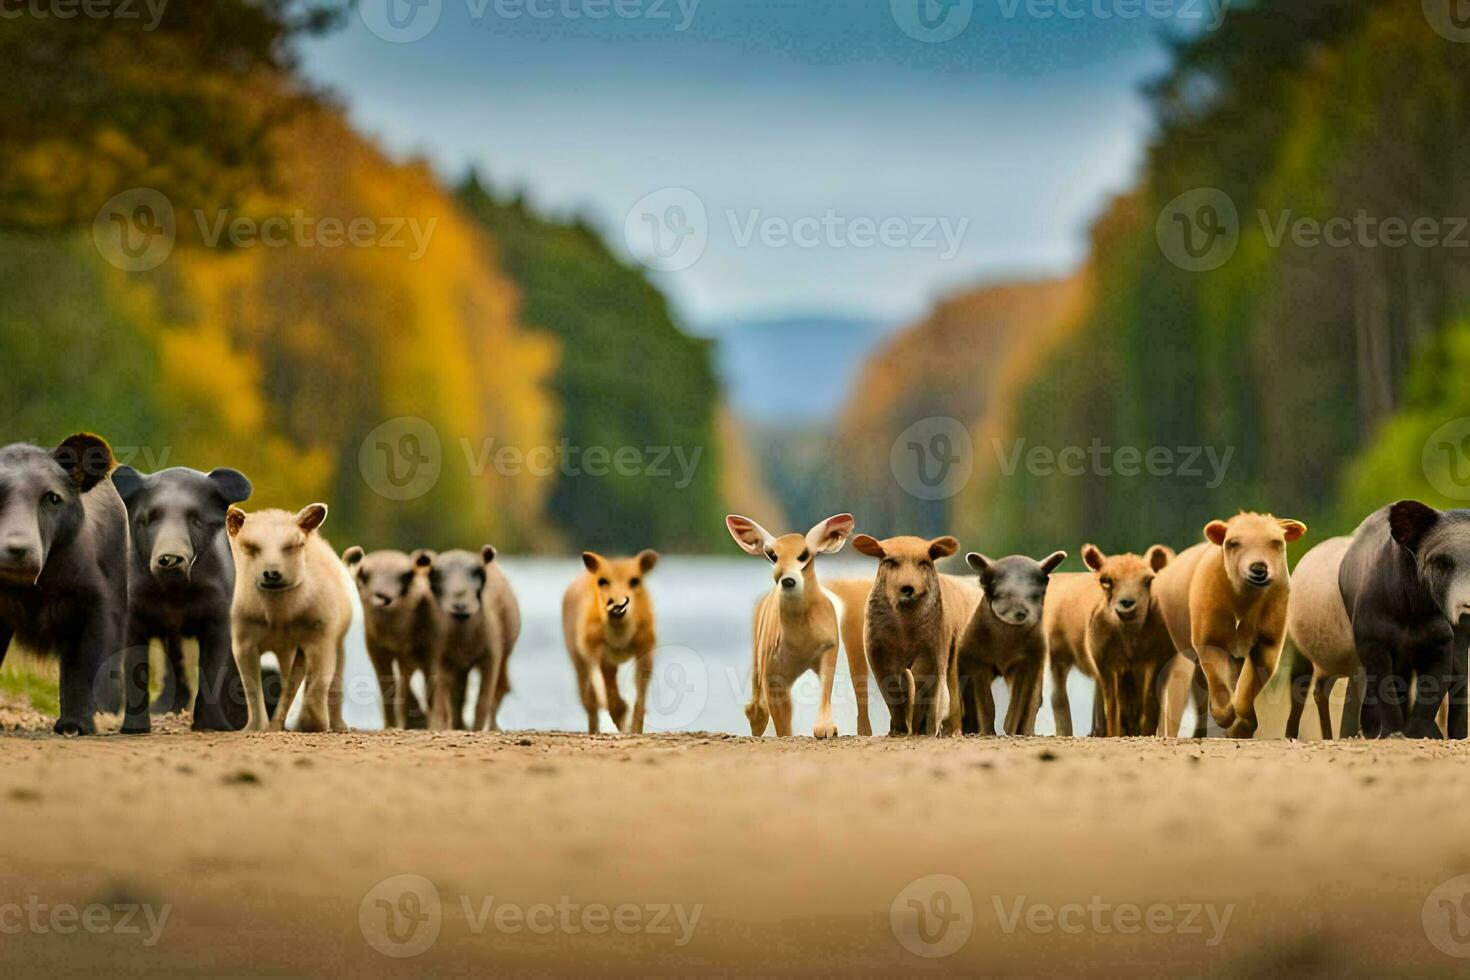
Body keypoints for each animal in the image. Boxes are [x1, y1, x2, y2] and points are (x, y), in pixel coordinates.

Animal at [229, 511, 355, 731]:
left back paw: (338, 726)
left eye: (294, 545)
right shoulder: (243, 639)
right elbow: (250, 683)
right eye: (250, 546)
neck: (279, 617)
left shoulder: (321, 636)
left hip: (335, 640)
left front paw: (310, 725)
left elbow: (319, 679)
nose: (272, 573)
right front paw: (256, 727)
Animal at [558, 549, 658, 731]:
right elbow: (603, 691)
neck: (620, 637)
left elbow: (639, 697)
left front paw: (632, 727)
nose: (618, 605)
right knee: (590, 701)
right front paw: (620, 716)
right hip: (578, 659)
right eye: (602, 581)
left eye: (635, 580)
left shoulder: (645, 648)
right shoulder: (595, 651)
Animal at [726, 514, 864, 734]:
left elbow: (825, 689)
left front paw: (827, 729)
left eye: (804, 554)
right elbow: (781, 719)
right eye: (772, 555)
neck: (800, 639)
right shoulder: (772, 669)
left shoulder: (830, 646)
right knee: (757, 709)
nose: (788, 580)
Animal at [1152, 514, 1305, 734]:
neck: (1245, 599)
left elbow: (1250, 684)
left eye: (1276, 542)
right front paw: (1224, 715)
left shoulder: (1268, 642)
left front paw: (1242, 724)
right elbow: (1218, 681)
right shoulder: (1210, 639)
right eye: (1234, 543)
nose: (1258, 568)